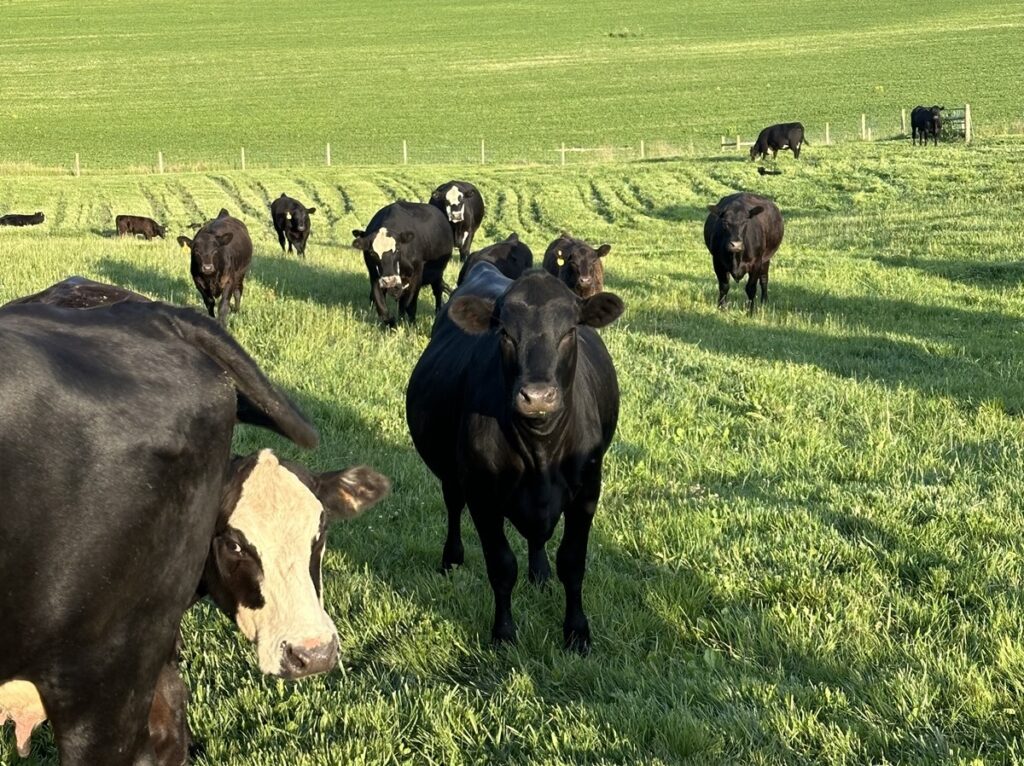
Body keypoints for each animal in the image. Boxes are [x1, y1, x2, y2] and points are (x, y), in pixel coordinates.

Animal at [352, 198, 452, 327]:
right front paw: (392, 324)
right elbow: (381, 305)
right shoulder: (374, 276)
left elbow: (409, 304)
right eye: (372, 252)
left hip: (438, 272)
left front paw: (410, 325)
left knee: (437, 291)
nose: (390, 281)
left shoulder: (417, 275)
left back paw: (438, 311)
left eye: (398, 249)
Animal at [405, 264, 622, 651]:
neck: (540, 452)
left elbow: (572, 563)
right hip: (451, 474)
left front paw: (577, 632)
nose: (537, 397)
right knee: (452, 506)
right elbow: (502, 566)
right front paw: (504, 633)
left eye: (570, 331)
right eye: (505, 334)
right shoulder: (481, 495)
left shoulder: (588, 491)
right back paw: (452, 559)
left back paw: (540, 573)